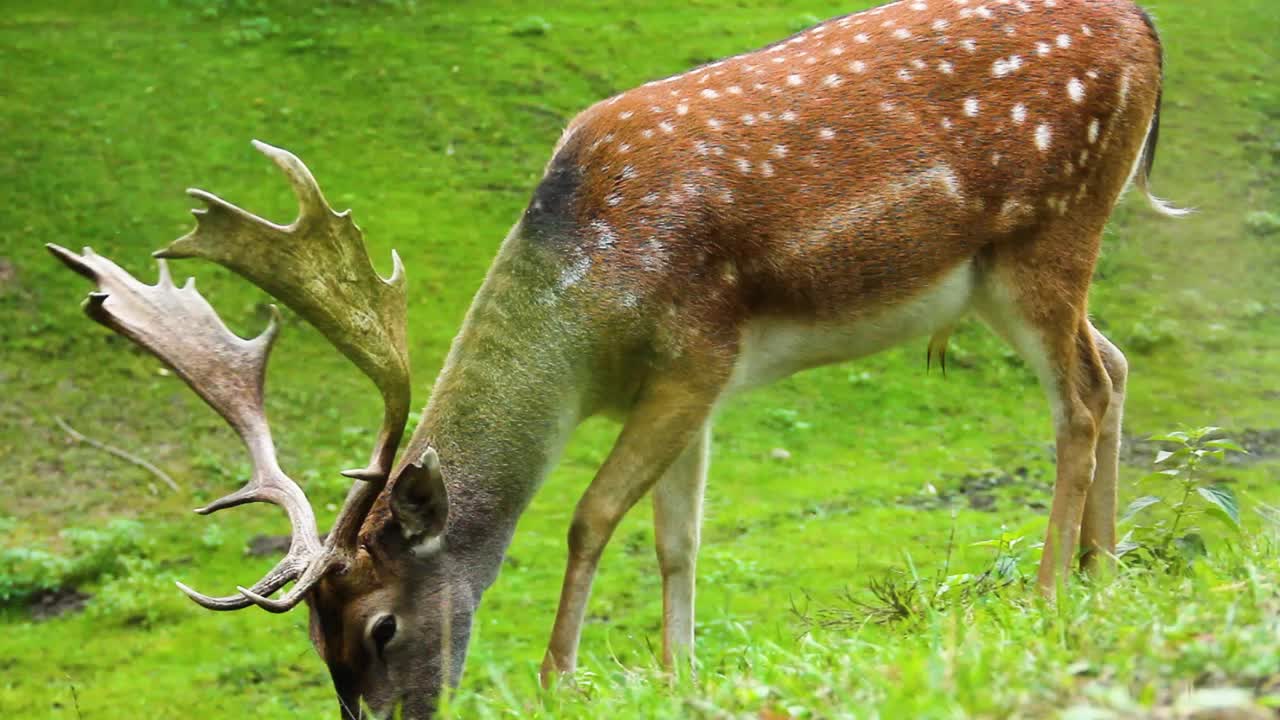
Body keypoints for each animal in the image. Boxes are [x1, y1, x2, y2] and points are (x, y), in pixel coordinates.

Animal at [49, 0, 1187, 712]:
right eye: (312, 640)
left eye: (379, 628)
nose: (389, 719)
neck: (587, 324)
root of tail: (1146, 29)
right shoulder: (703, 387)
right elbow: (677, 537)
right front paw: (679, 675)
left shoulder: (695, 353)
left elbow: (593, 516)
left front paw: (563, 678)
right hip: (1012, 273)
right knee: (1119, 363)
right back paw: (1106, 573)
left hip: (1046, 233)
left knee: (1082, 395)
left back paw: (1048, 591)